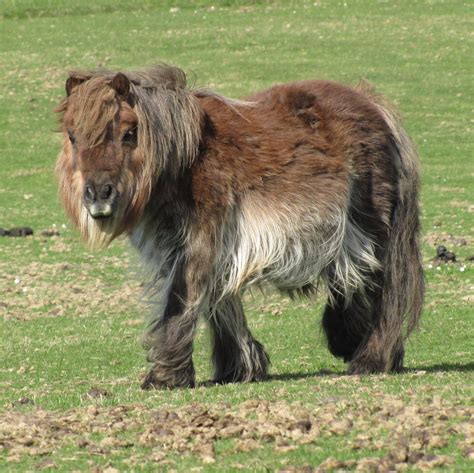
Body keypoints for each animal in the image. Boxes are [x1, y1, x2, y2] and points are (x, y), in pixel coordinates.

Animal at [54, 63, 422, 388]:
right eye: (72, 136)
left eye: (129, 133)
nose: (98, 195)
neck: (188, 158)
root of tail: (372, 104)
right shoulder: (189, 246)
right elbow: (215, 300)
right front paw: (240, 367)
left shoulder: (202, 240)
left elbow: (182, 300)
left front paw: (164, 377)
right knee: (350, 279)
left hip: (372, 228)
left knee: (382, 287)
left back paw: (371, 358)